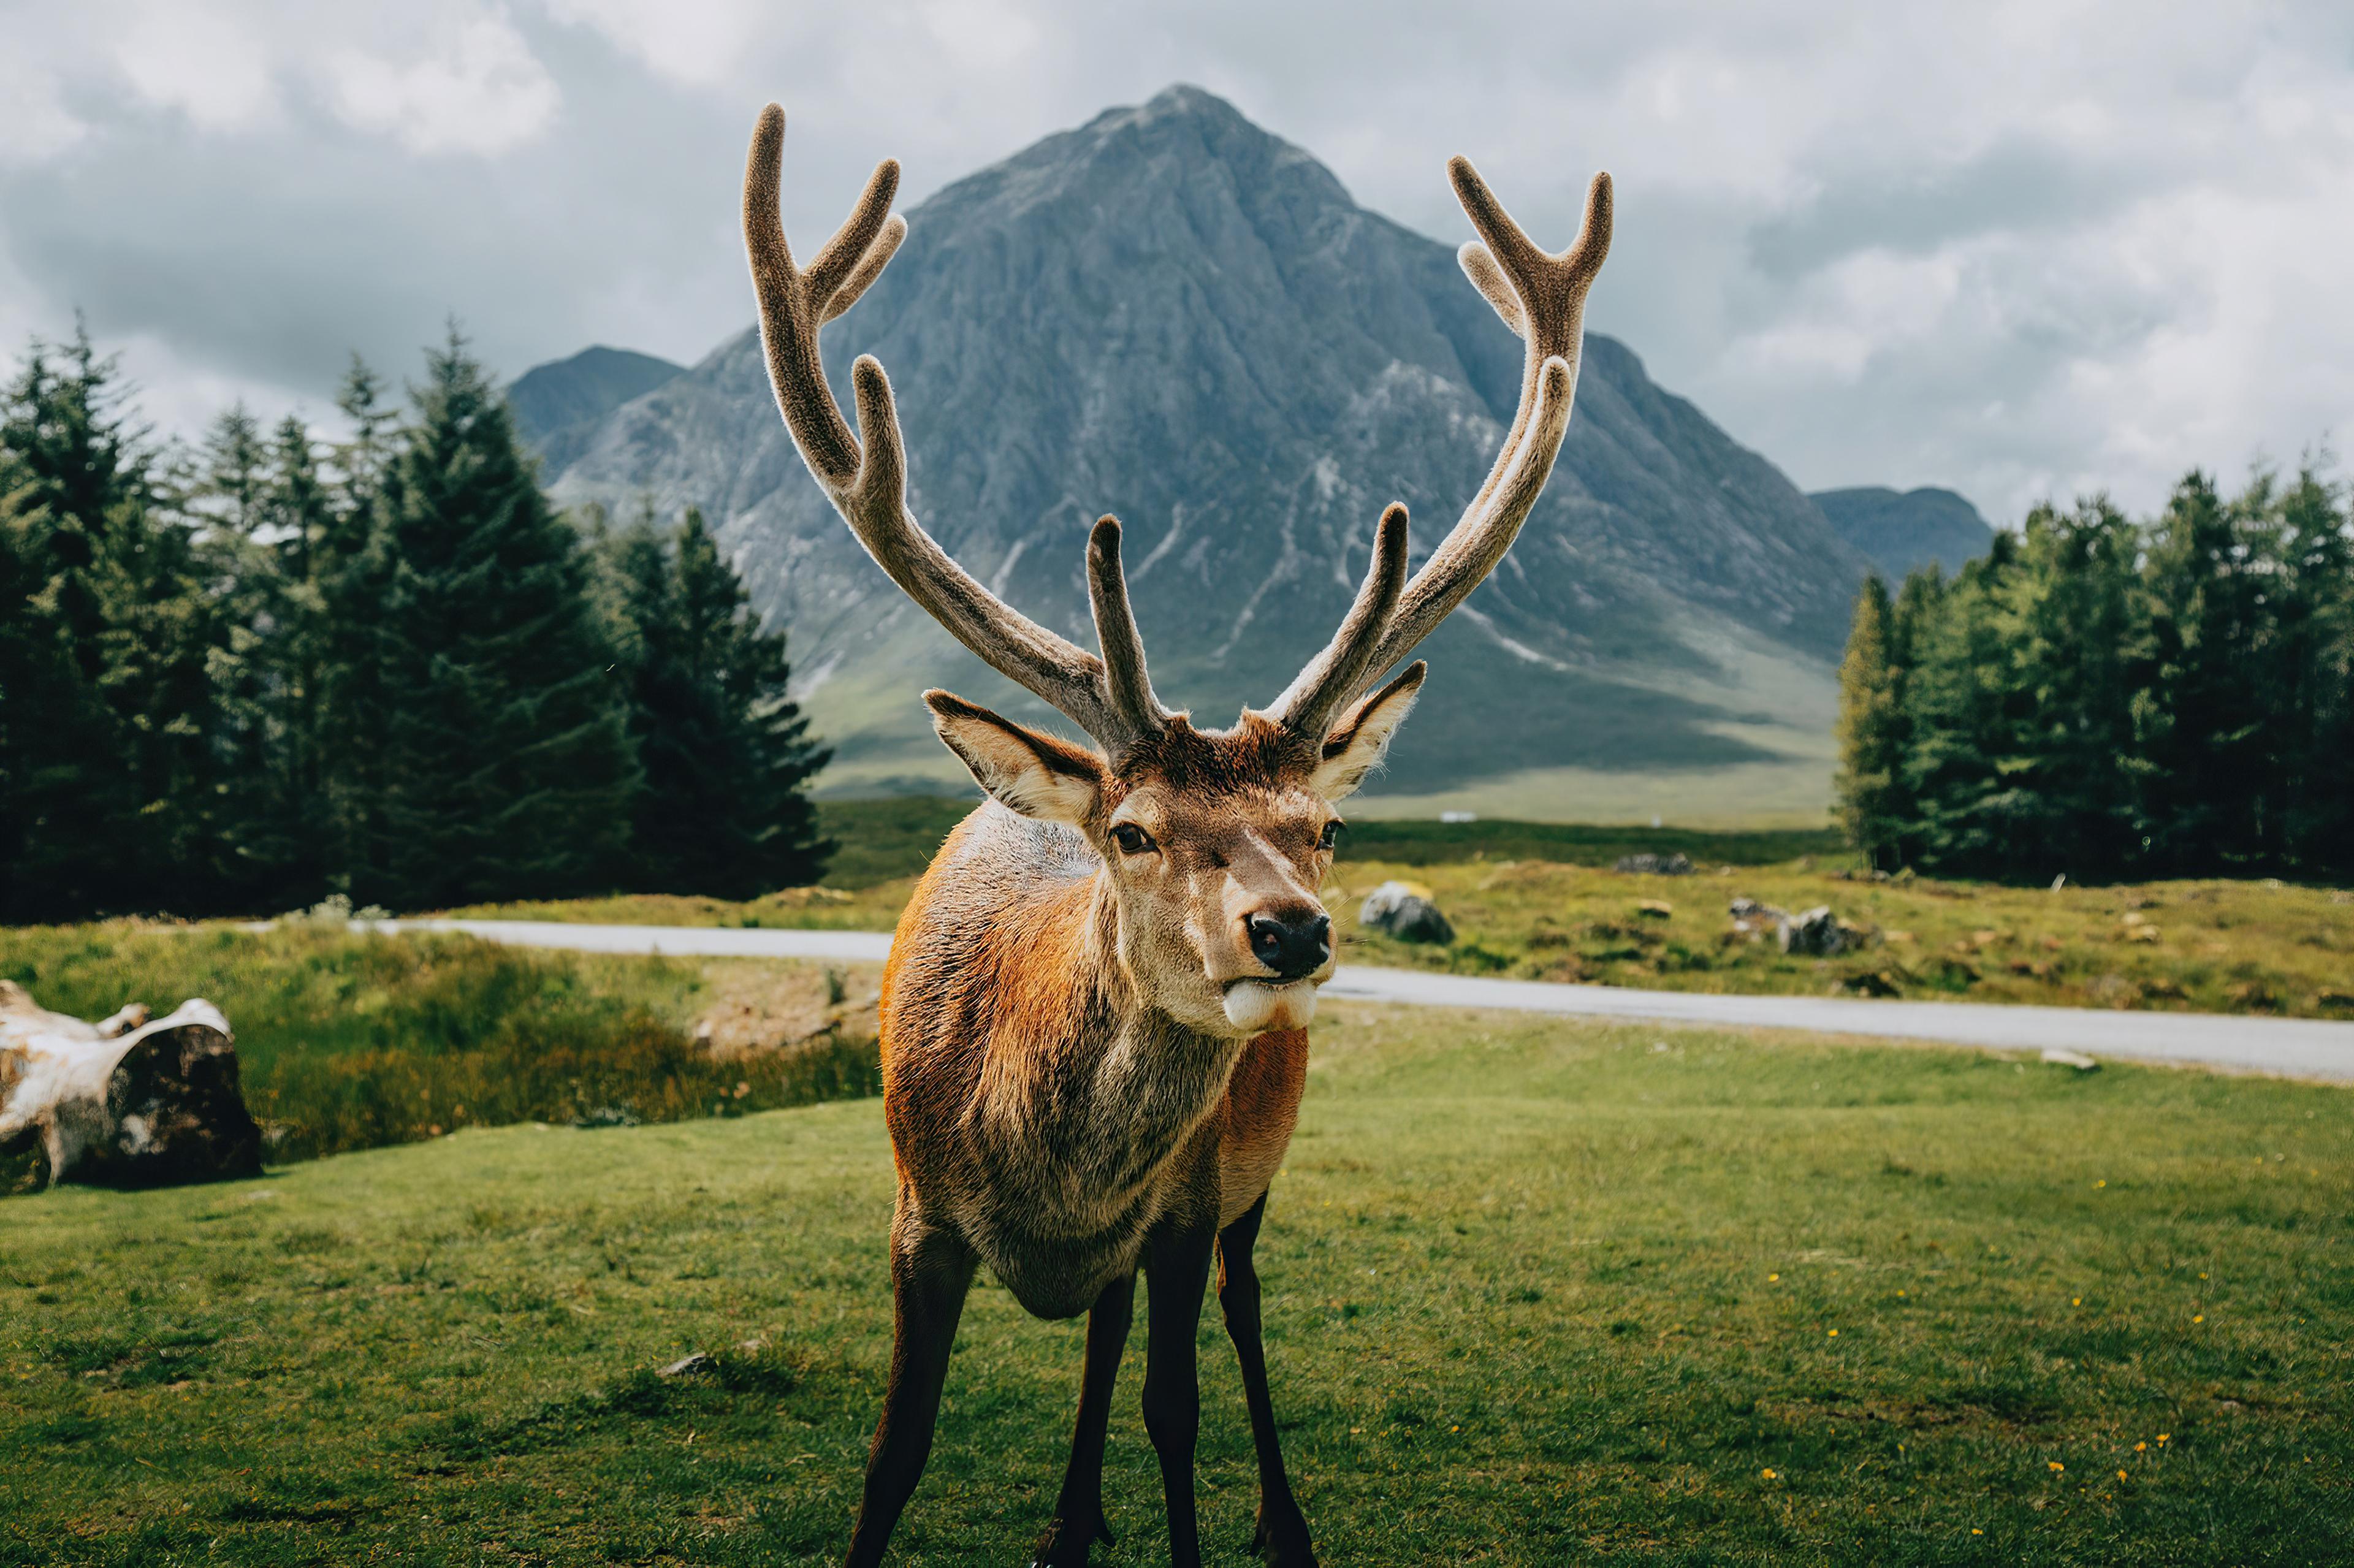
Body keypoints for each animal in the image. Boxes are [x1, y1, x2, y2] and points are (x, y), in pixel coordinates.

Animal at [741, 103, 1609, 1568]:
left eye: (1325, 824)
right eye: (1136, 831)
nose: (1291, 929)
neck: (1049, 1184)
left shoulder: (1183, 1210)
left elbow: (1176, 1413)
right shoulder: (917, 1209)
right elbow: (894, 1450)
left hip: (1250, 1182)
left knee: (1233, 1311)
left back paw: (1273, 1517)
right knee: (1095, 1337)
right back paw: (1071, 1518)